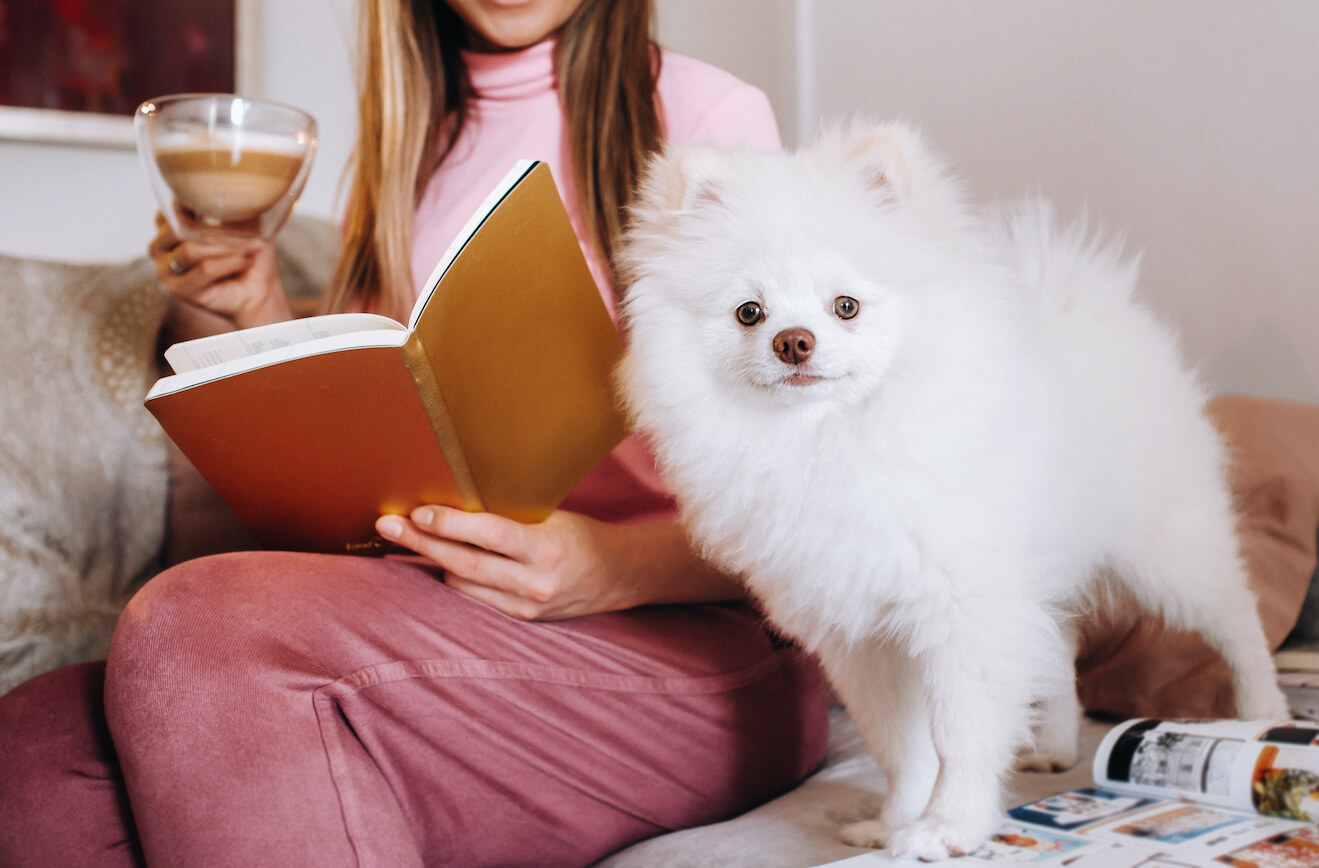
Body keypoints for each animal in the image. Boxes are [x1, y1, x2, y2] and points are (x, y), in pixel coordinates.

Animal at [614, 118, 1287, 854]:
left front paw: (949, 826)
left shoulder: (962, 608)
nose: (793, 341)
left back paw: (1263, 712)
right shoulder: (860, 634)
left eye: (845, 306)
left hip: (1164, 547)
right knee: (1056, 649)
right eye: (748, 313)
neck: (830, 439)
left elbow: (960, 733)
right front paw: (894, 821)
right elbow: (900, 745)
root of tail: (1086, 296)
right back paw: (1054, 744)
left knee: (1234, 617)